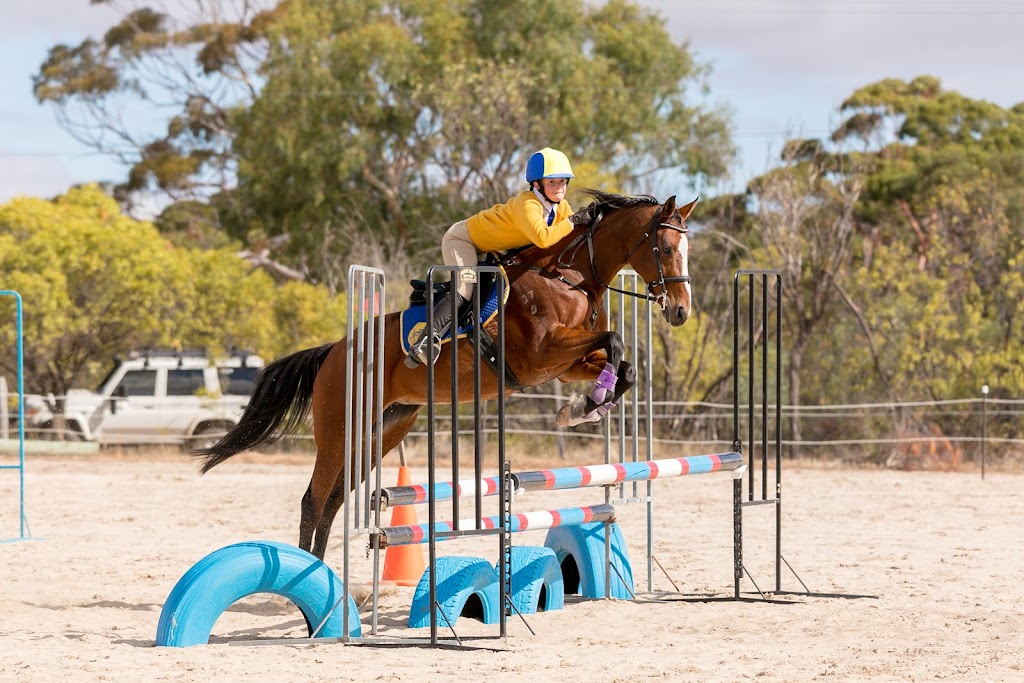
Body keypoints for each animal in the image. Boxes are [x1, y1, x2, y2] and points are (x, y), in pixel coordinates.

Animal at [192, 188, 696, 561]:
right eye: (665, 248)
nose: (680, 312)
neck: (569, 273)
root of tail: (334, 350)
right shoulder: (538, 358)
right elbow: (615, 340)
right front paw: (583, 408)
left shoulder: (565, 363)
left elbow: (623, 362)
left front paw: (584, 407)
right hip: (338, 430)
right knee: (314, 500)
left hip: (384, 430)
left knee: (335, 499)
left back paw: (322, 573)